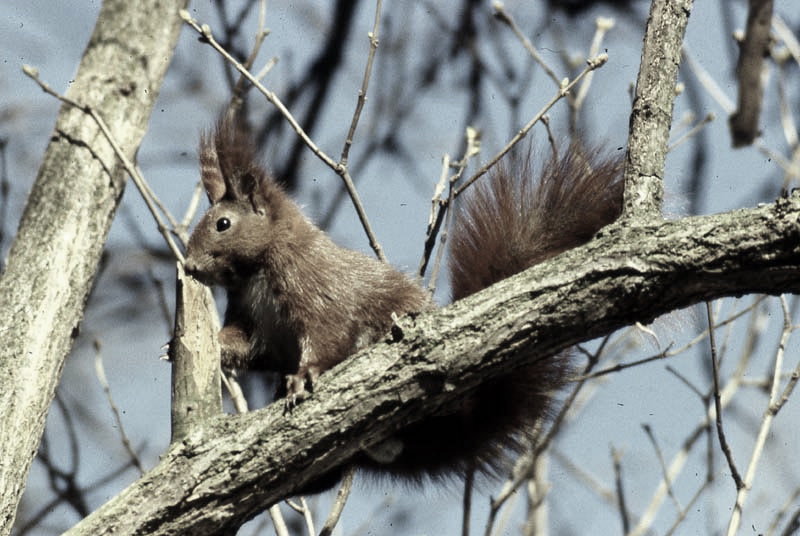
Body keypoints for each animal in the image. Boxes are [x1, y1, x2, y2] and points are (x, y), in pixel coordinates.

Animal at [183, 117, 624, 486]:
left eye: (223, 224)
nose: (189, 266)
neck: (254, 273)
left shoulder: (316, 286)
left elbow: (326, 332)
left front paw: (303, 377)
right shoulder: (252, 320)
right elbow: (244, 346)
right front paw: (187, 347)